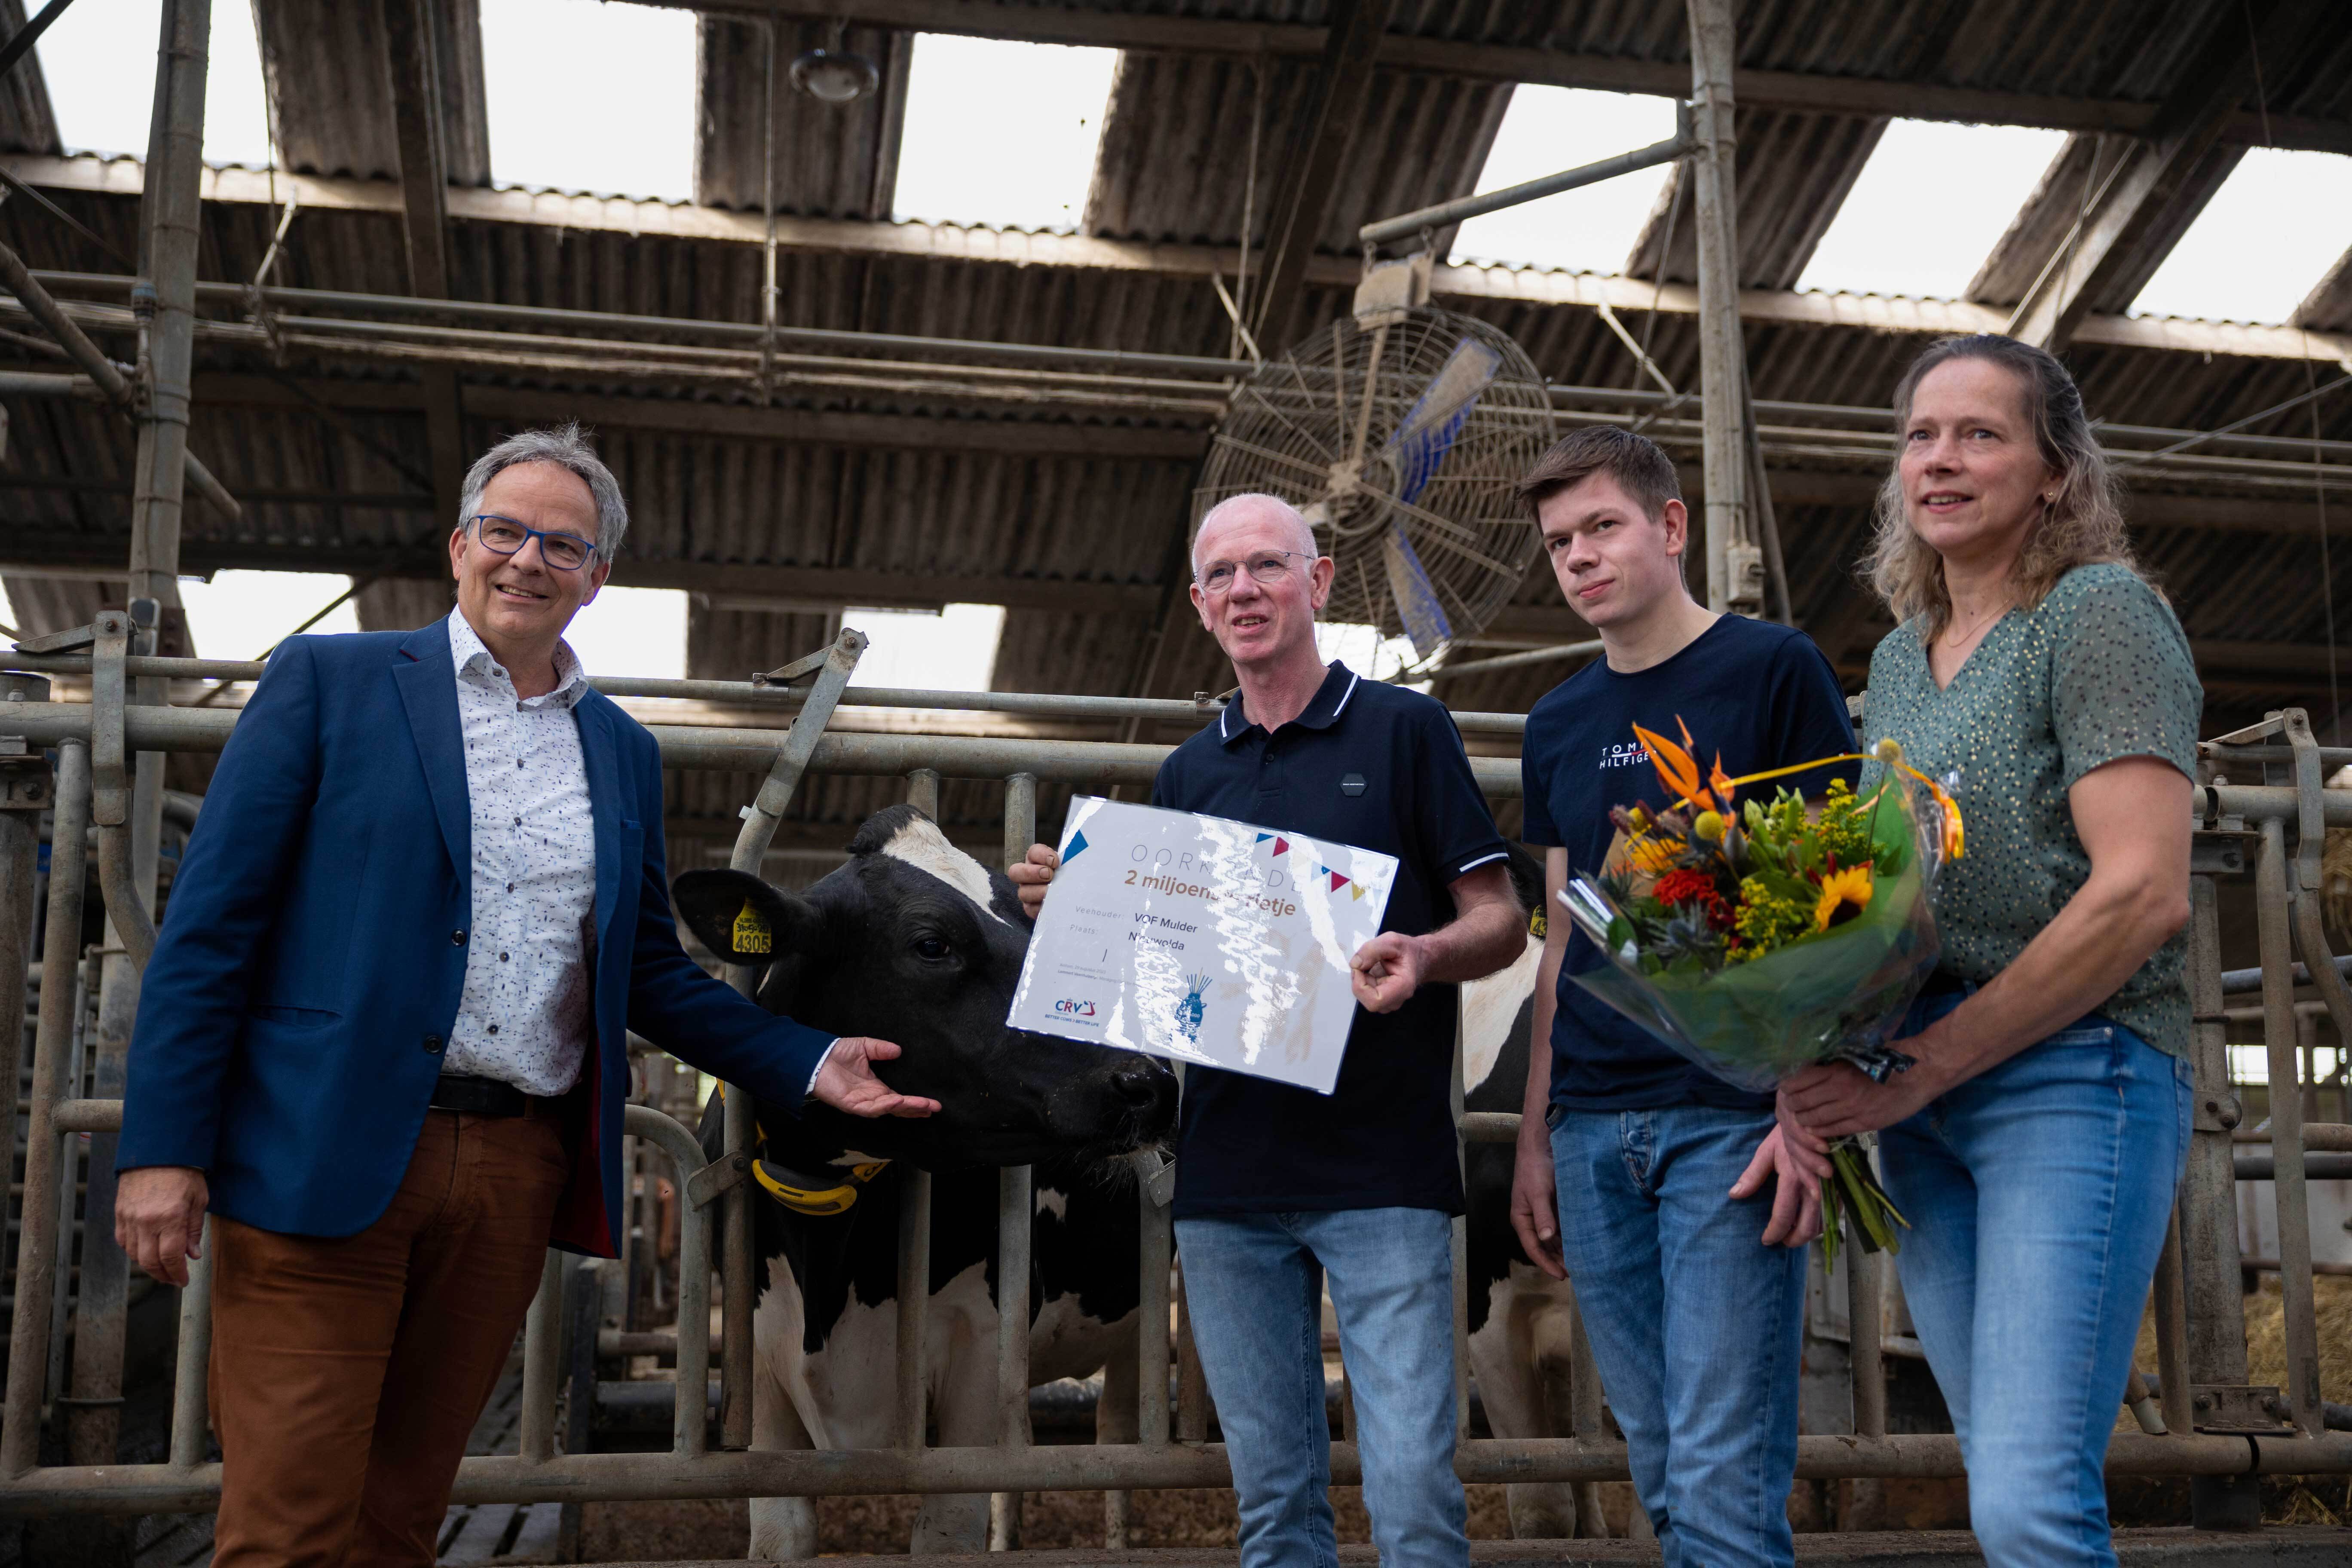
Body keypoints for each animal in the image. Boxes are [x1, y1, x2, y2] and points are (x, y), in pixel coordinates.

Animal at [672, 808, 1176, 1561]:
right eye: (932, 944)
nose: (1149, 1080)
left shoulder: (982, 1339)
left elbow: (946, 1529)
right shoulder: (757, 1352)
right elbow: (782, 1533)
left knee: (1117, 1433)